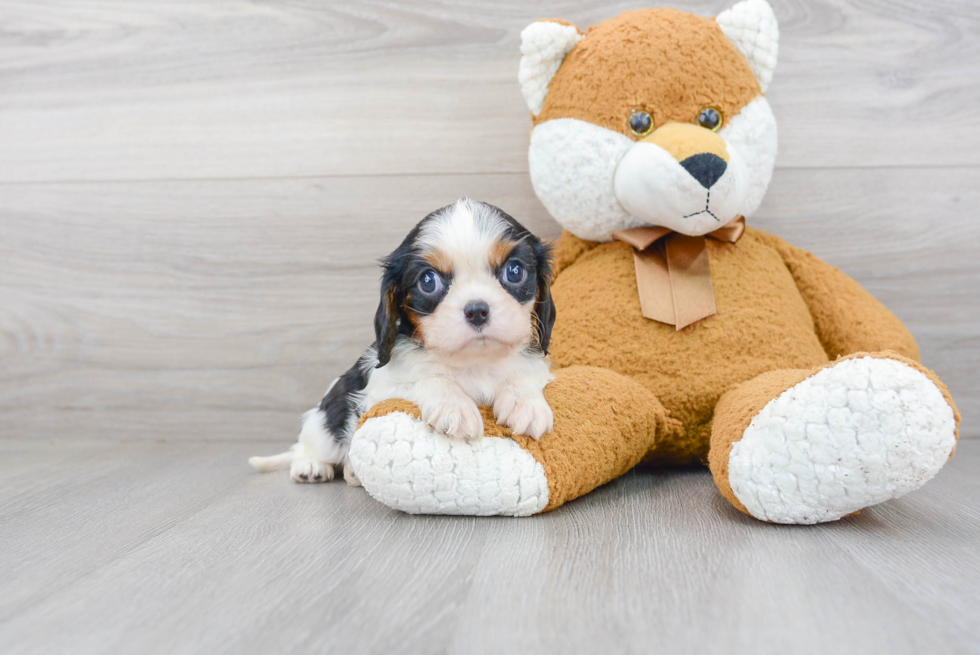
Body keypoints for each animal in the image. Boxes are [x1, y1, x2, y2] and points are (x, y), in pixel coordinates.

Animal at [249, 197, 556, 484]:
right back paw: (311, 466)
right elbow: (429, 380)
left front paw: (525, 403)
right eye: (428, 281)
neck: (473, 363)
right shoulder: (383, 389)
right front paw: (454, 406)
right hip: (326, 420)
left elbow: (525, 375)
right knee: (309, 445)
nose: (477, 310)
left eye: (514, 272)